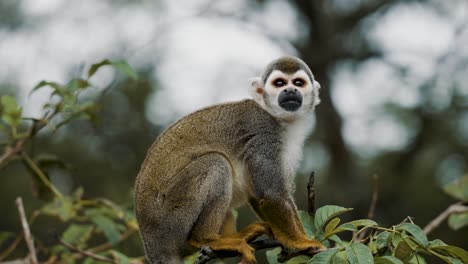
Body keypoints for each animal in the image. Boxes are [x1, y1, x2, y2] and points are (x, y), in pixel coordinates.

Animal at [135, 56, 324, 264]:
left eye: (298, 83)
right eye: (280, 83)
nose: (290, 91)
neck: (280, 119)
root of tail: (151, 240)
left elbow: (258, 193)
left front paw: (289, 239)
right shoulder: (264, 134)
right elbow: (271, 194)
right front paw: (302, 242)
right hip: (170, 217)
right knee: (217, 163)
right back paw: (206, 238)